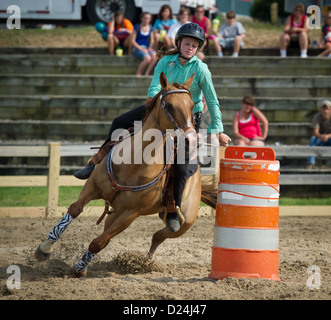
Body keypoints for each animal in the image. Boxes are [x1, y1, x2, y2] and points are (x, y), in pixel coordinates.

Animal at [34, 72, 218, 278]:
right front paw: (44, 249)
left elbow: (98, 242)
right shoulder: (92, 187)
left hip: (185, 222)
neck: (134, 164)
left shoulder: (131, 214)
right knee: (118, 233)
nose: (190, 139)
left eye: (192, 105)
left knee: (158, 235)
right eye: (169, 105)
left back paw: (144, 262)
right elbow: (74, 210)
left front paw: (80, 269)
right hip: (114, 213)